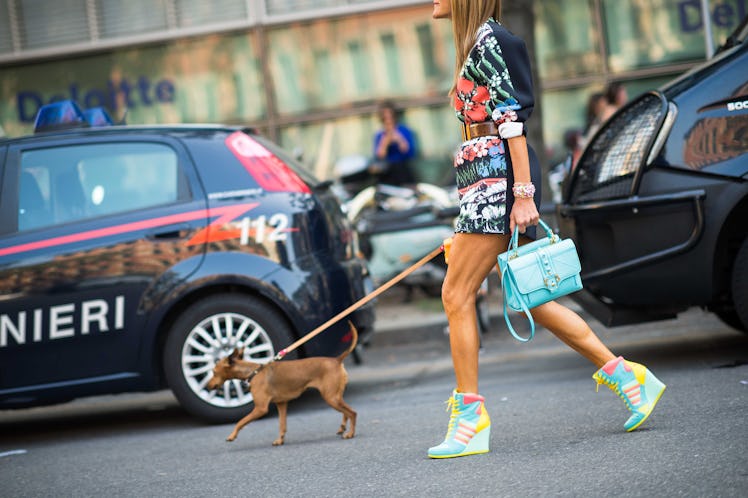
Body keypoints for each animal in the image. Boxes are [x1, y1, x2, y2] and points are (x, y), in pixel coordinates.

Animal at [205, 324, 356, 446]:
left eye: (214, 372)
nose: (207, 386)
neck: (254, 372)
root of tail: (337, 360)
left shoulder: (260, 409)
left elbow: (240, 421)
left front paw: (232, 435)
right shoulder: (281, 404)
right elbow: (282, 425)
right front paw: (280, 440)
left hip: (331, 398)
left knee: (352, 413)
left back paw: (350, 433)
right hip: (335, 397)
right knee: (345, 412)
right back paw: (343, 428)